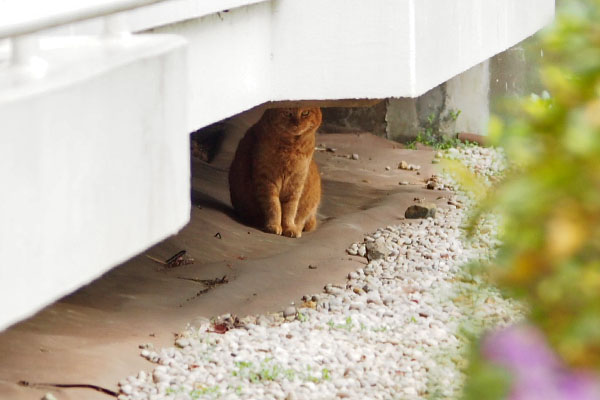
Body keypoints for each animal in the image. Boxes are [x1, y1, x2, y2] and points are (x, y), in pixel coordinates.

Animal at [229, 107, 322, 238]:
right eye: (288, 113)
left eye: (305, 113)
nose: (296, 123)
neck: (291, 147)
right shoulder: (267, 180)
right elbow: (274, 206)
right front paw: (273, 226)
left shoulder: (296, 183)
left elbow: (290, 210)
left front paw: (289, 228)